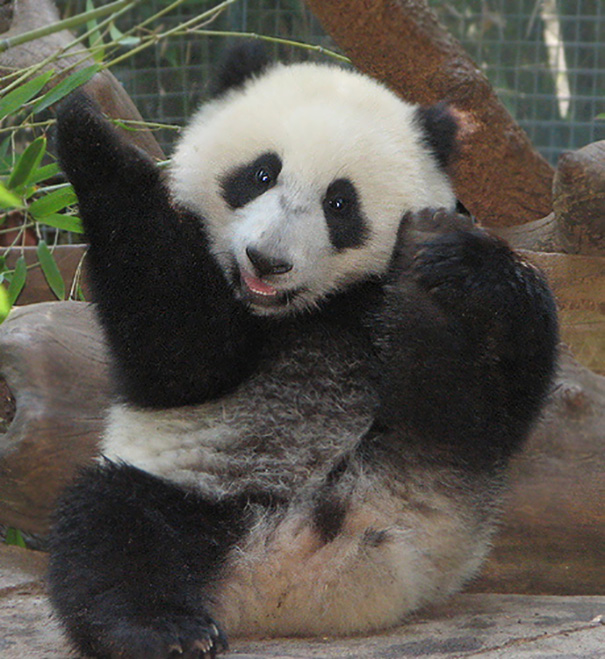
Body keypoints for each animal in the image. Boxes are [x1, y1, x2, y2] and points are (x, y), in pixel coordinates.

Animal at [48, 44, 558, 659]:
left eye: (339, 203)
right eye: (261, 174)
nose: (267, 261)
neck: (306, 312)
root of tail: (287, 575)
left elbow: (516, 377)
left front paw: (461, 257)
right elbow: (182, 351)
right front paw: (86, 126)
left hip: (443, 482)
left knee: (464, 406)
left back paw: (428, 310)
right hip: (191, 499)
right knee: (109, 528)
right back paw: (164, 630)